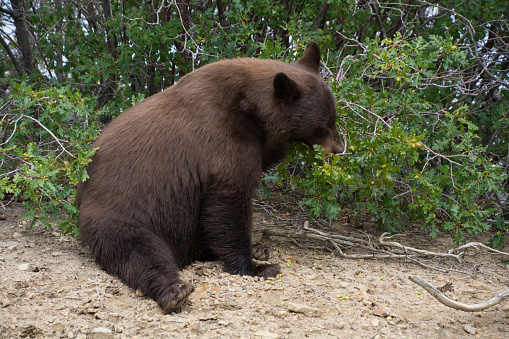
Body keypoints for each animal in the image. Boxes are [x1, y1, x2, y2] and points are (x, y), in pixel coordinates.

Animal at [76, 41, 346, 314]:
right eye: (325, 124)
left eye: (333, 118)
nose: (339, 148)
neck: (249, 105)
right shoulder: (220, 137)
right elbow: (229, 201)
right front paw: (254, 268)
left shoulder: (255, 138)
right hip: (118, 215)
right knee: (139, 250)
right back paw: (175, 291)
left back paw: (255, 249)